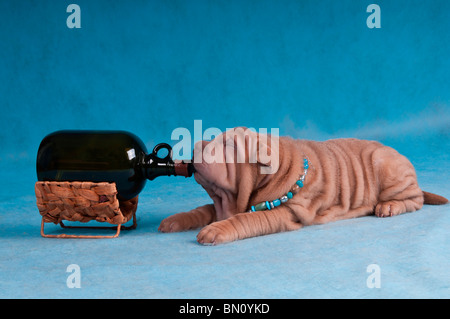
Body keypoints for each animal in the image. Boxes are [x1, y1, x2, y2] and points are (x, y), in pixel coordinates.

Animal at [158, 127, 446, 245]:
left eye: (229, 146)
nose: (196, 146)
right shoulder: (221, 202)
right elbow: (204, 209)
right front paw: (176, 220)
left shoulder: (287, 211)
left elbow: (246, 219)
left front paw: (216, 230)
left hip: (385, 165)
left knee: (416, 199)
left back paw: (389, 206)